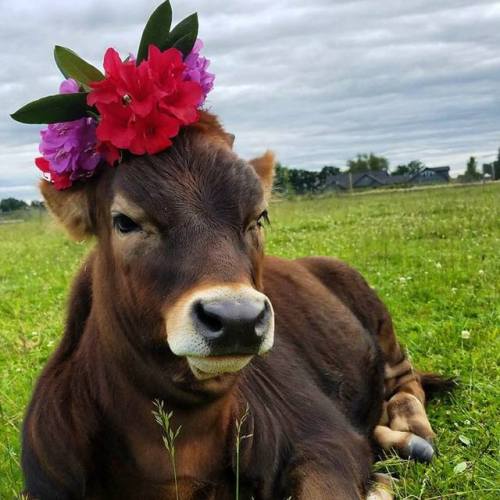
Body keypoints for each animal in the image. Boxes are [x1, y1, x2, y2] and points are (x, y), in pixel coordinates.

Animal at [21, 113, 450, 500]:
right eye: (125, 221)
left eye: (259, 216)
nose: (237, 319)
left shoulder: (326, 438)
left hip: (379, 322)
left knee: (406, 381)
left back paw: (412, 435)